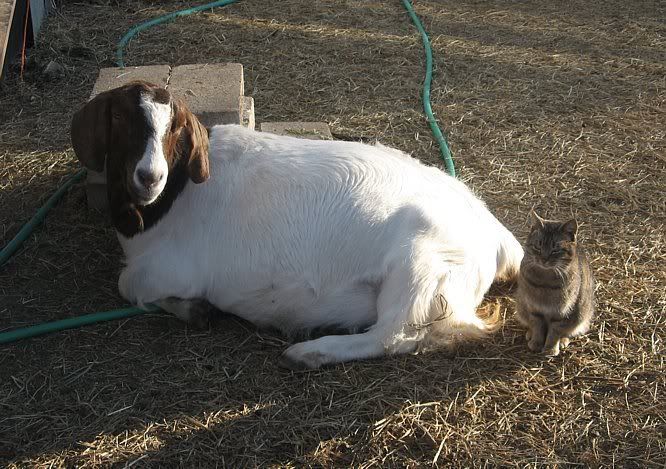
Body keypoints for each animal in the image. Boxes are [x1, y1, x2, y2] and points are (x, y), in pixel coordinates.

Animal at [70, 81, 523, 369]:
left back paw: (311, 353)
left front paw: (194, 309)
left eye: (175, 129)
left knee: (397, 334)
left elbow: (127, 284)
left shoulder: (169, 269)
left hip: (422, 266)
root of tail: (495, 234)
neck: (174, 195)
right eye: (120, 119)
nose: (149, 176)